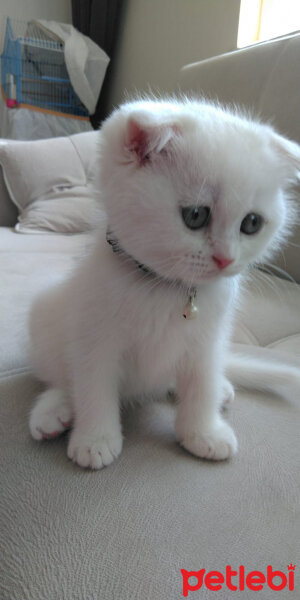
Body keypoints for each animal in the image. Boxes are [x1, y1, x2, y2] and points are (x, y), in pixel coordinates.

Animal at [29, 99, 300, 468]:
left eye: (252, 223)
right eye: (196, 216)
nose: (226, 259)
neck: (167, 289)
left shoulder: (208, 338)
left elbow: (201, 383)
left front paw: (203, 432)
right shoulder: (93, 335)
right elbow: (92, 386)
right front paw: (95, 439)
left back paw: (220, 388)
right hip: (44, 316)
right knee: (60, 376)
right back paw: (53, 411)